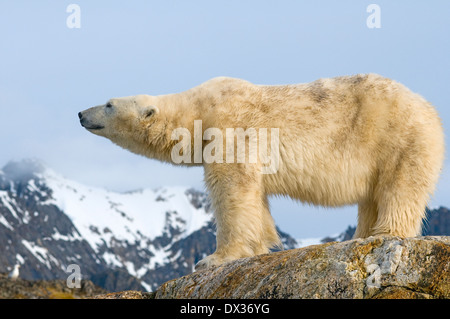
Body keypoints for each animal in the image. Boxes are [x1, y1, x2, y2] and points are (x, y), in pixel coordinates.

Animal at [79, 74, 444, 270]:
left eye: (109, 104)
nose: (81, 113)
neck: (199, 110)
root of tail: (431, 109)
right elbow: (255, 198)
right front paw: (261, 243)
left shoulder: (231, 128)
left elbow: (231, 187)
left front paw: (213, 259)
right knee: (371, 196)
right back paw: (362, 236)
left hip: (400, 138)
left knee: (399, 187)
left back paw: (385, 233)